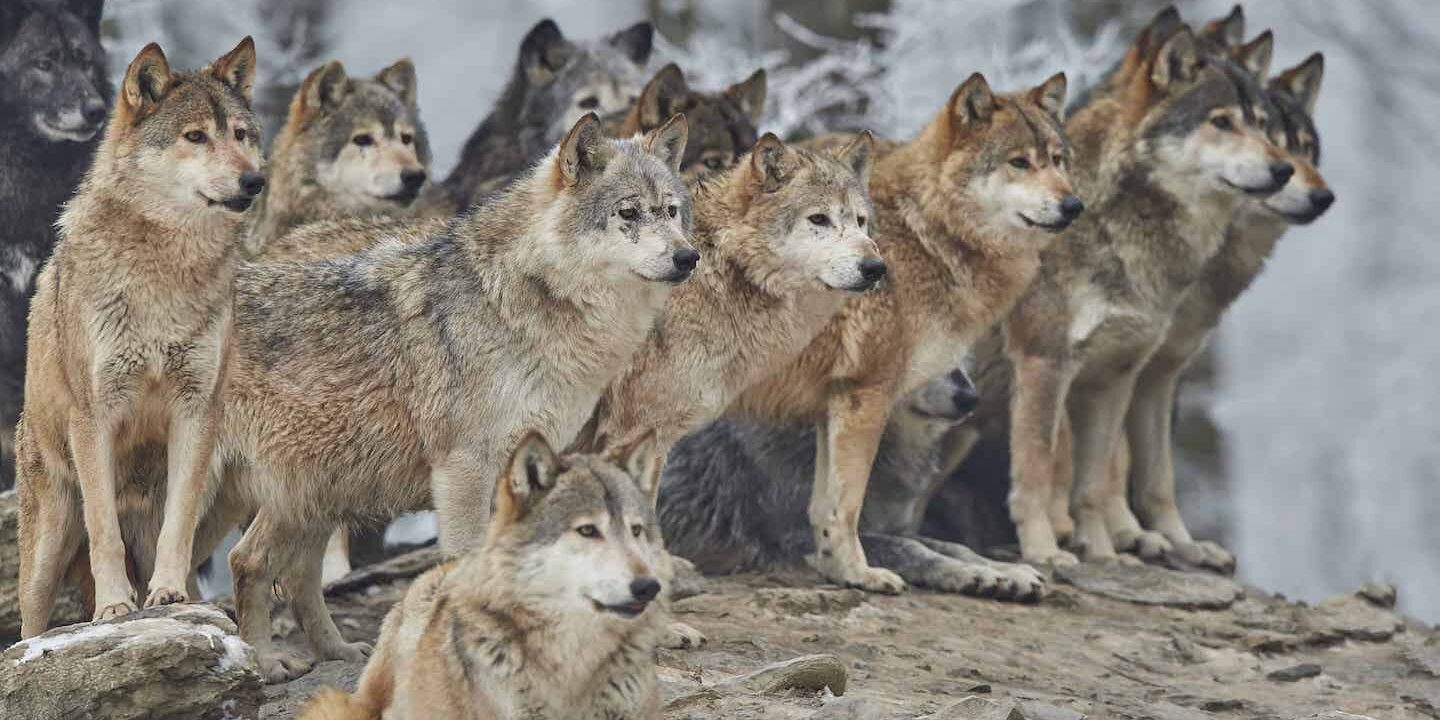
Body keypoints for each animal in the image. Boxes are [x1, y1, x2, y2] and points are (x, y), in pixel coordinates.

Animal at [16, 38, 264, 637]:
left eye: (240, 135)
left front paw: (169, 594)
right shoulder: (95, 416)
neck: (164, 273)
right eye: (195, 136)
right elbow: (103, 530)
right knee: (29, 626)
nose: (254, 181)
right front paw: (113, 607)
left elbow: (179, 526)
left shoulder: (198, 410)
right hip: (46, 548)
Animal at [207, 113, 693, 682]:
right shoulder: (464, 469)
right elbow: (466, 562)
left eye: (671, 211)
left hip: (319, 488)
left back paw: (337, 652)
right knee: (244, 561)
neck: (523, 300)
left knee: (279, 568)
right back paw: (263, 659)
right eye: (628, 213)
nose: (688, 256)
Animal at [661, 71, 1079, 595]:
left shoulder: (833, 405)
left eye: (1058, 160)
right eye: (1019, 162)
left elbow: (913, 534)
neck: (925, 235)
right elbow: (856, 513)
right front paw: (860, 573)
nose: (1074, 205)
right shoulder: (866, 395)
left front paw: (1004, 571)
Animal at [978, 8, 1295, 567]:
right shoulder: (1045, 365)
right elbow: (1040, 472)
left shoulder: (1128, 375)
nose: (1284, 168)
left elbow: (1108, 482)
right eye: (1221, 121)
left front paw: (1111, 553)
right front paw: (1044, 550)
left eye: (1262, 124)